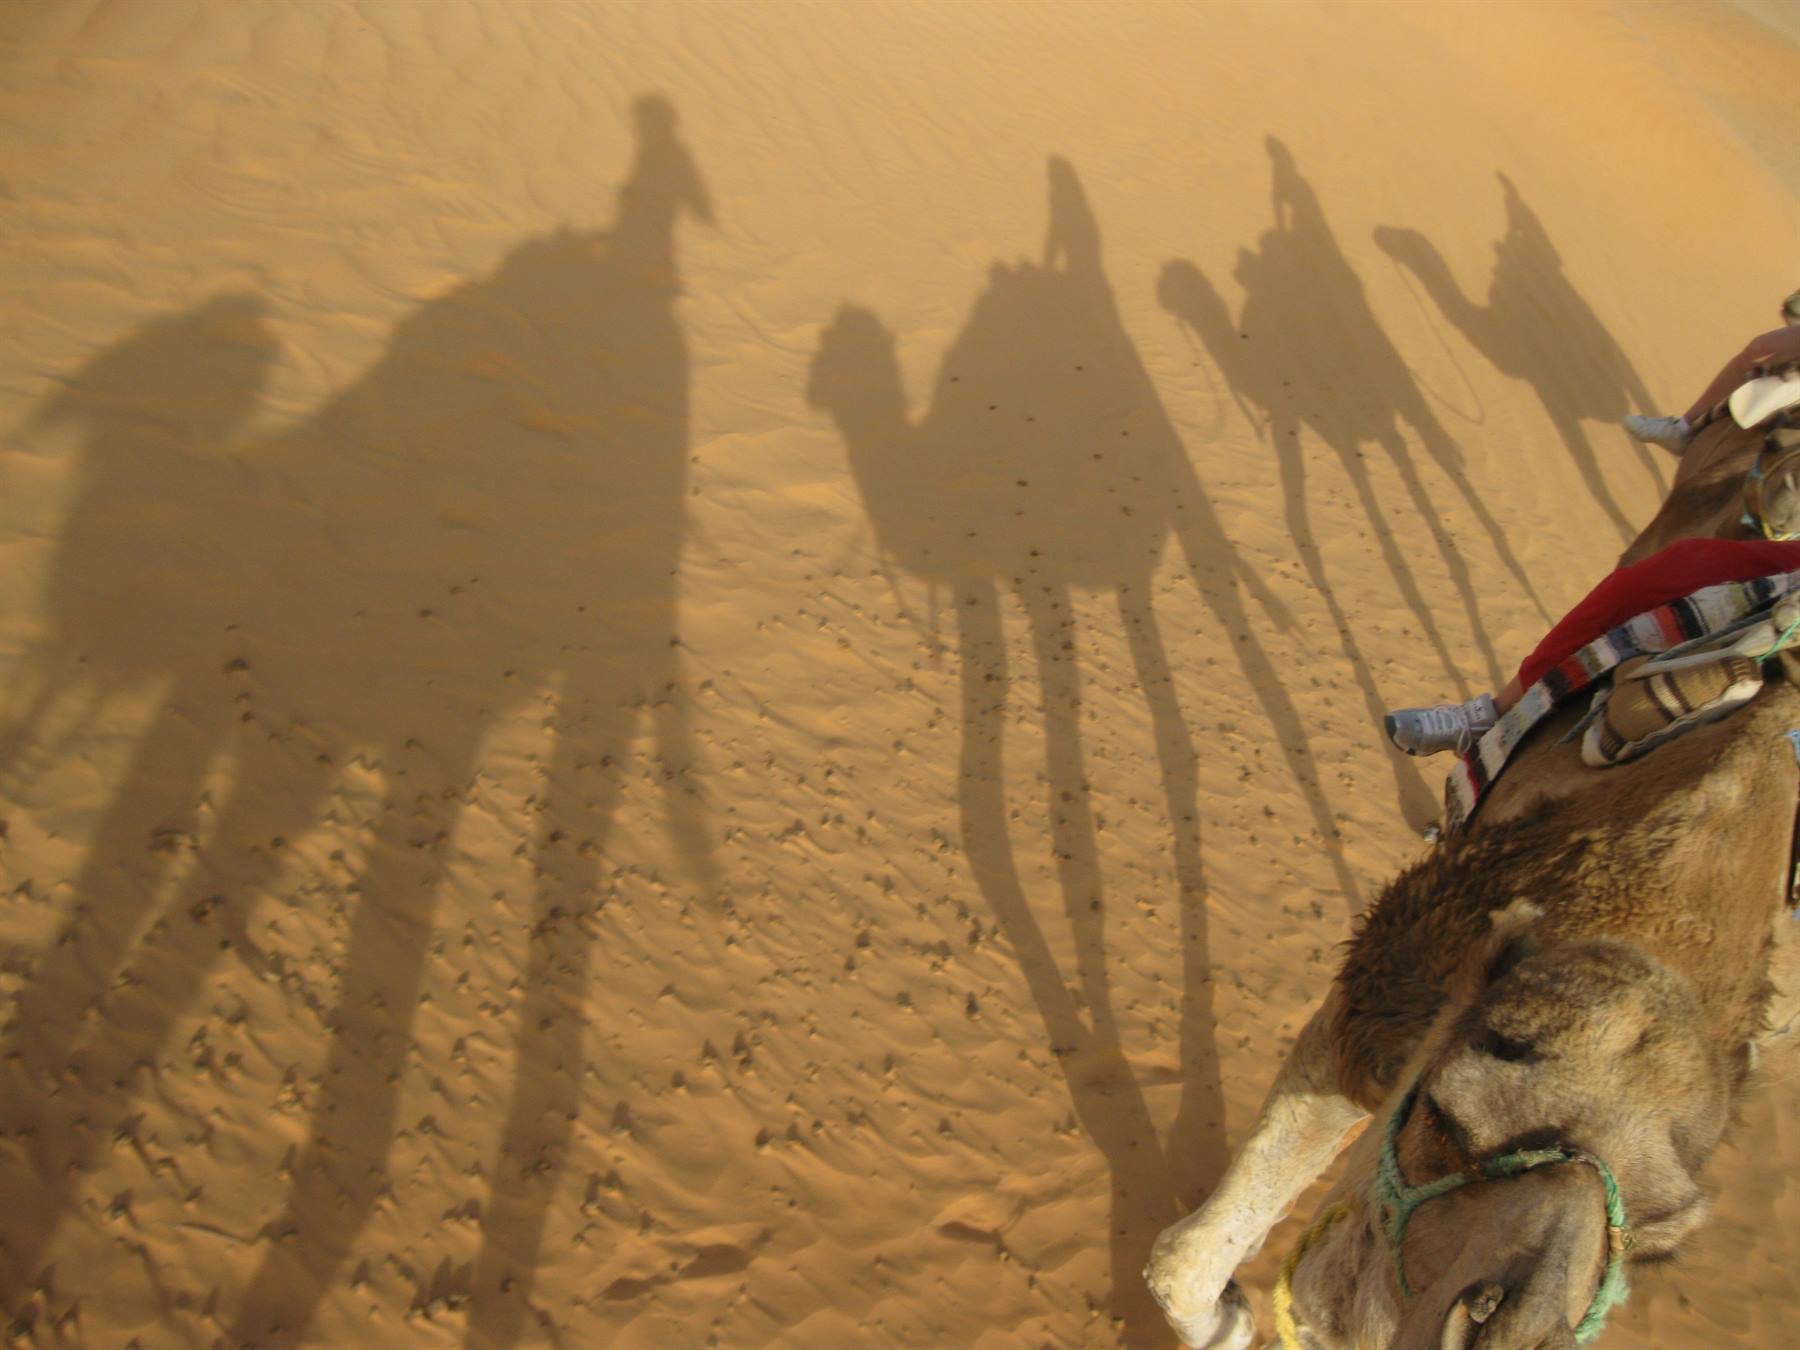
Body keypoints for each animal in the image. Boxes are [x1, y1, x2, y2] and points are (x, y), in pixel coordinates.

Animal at [1144, 399, 1800, 1348]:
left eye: (1653, 1245)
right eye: (1443, 1116)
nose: (1502, 1324)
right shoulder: (1388, 992)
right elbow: (1185, 1262)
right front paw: (1226, 1316)